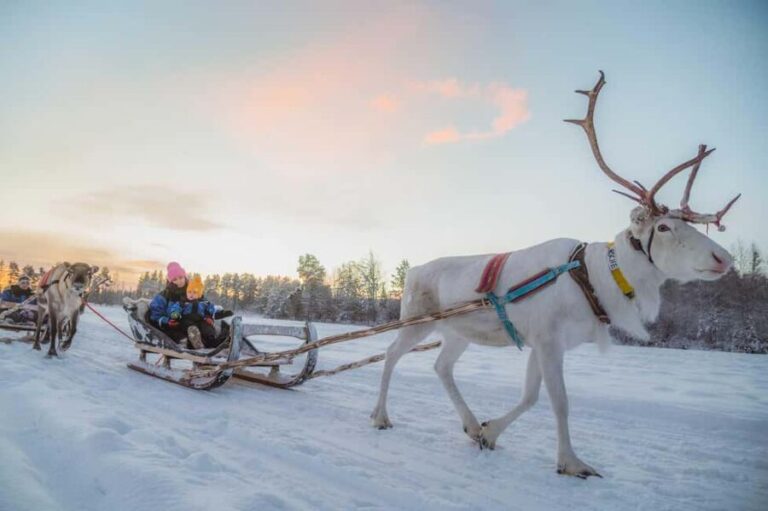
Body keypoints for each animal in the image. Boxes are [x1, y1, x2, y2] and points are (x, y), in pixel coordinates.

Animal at [370, 72, 740, 478]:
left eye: (687, 225)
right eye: (663, 228)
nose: (724, 257)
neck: (596, 278)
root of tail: (413, 270)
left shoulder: (543, 342)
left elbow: (530, 396)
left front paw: (489, 432)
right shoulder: (547, 340)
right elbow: (559, 401)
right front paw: (571, 462)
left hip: (457, 332)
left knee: (441, 366)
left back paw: (468, 424)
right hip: (417, 320)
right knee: (390, 354)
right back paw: (380, 416)